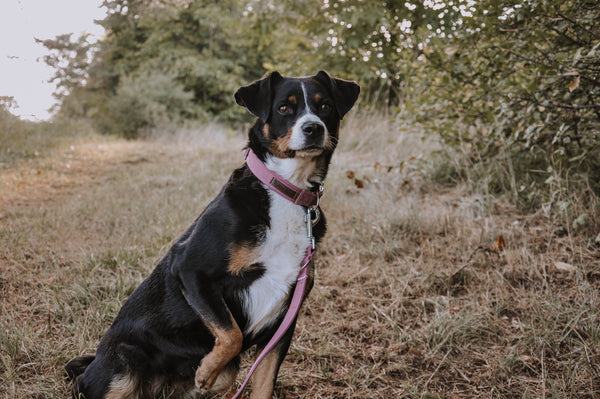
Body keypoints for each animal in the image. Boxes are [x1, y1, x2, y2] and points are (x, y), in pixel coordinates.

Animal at [65, 70, 358, 398]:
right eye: (284, 108)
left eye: (325, 107)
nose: (313, 128)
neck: (286, 192)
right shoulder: (192, 271)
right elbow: (232, 334)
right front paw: (206, 369)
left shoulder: (284, 321)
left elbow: (263, 383)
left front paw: (209, 371)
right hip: (122, 364)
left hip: (220, 375)